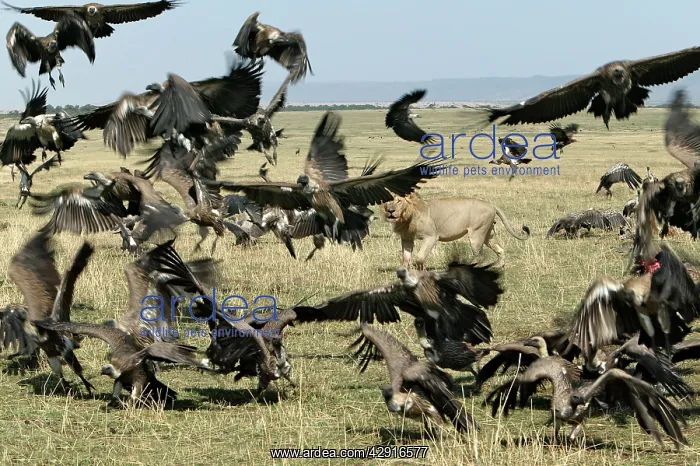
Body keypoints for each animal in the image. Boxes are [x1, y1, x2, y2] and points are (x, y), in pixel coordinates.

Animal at [382, 192, 530, 268]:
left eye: (399, 201)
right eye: (387, 201)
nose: (390, 210)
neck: (406, 216)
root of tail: (491, 204)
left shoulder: (431, 236)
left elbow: (419, 257)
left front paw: (418, 270)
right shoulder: (407, 238)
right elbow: (405, 257)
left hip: (476, 233)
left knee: (479, 255)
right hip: (488, 233)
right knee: (500, 249)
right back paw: (499, 266)